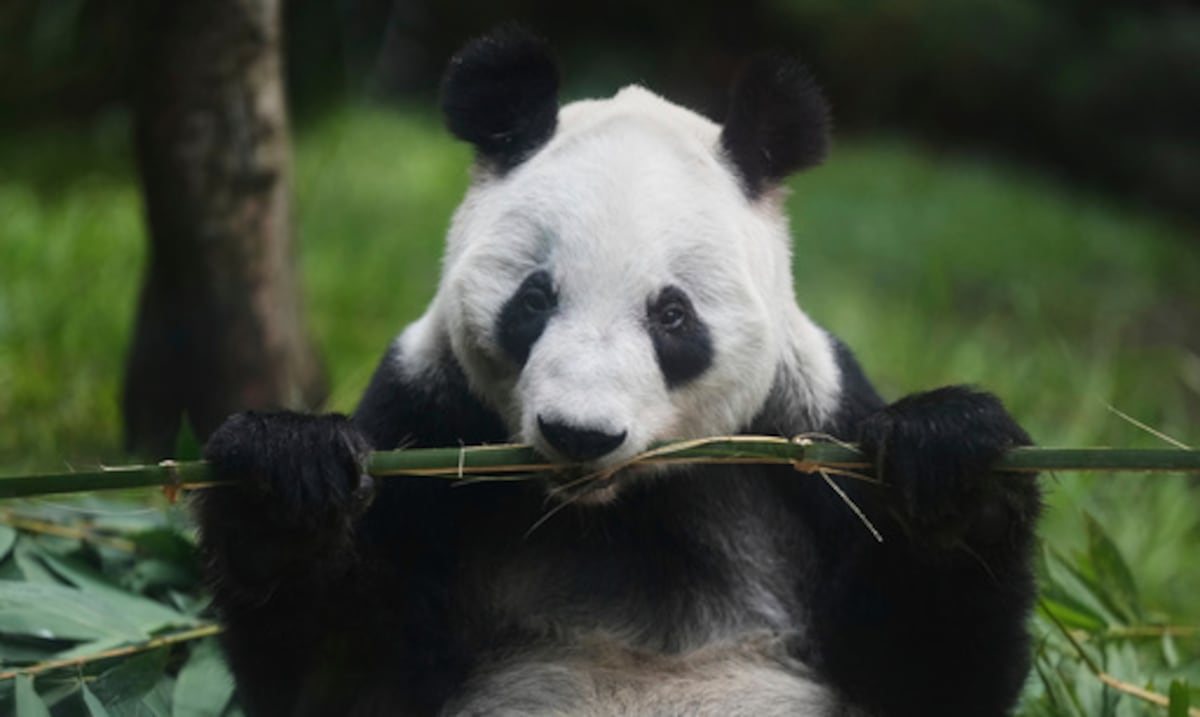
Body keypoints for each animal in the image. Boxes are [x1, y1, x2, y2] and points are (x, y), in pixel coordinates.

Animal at [196, 27, 1041, 717]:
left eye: (672, 316)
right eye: (534, 298)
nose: (580, 432)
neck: (614, 507)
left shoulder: (812, 437)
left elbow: (926, 671)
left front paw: (950, 464)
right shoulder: (426, 420)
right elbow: (343, 672)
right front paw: (287, 476)